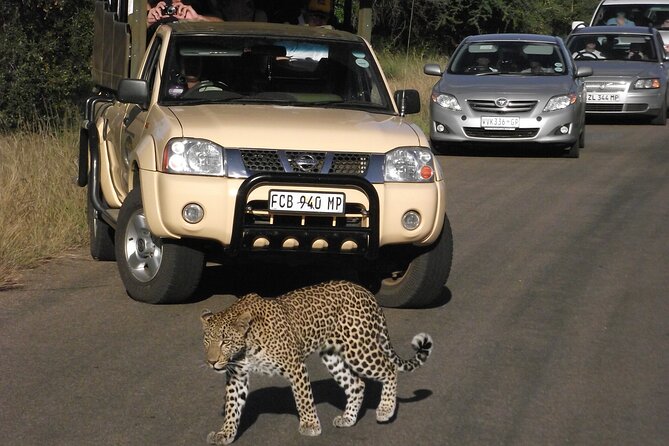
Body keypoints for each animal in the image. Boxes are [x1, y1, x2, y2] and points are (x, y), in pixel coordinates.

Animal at [201, 280, 434, 444]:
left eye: (225, 342)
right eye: (206, 341)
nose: (211, 362)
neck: (246, 345)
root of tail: (366, 291)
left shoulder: (295, 365)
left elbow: (303, 398)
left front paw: (310, 425)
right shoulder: (237, 375)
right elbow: (232, 406)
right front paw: (225, 433)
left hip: (358, 349)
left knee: (389, 368)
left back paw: (385, 409)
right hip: (333, 356)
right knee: (357, 384)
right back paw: (348, 418)